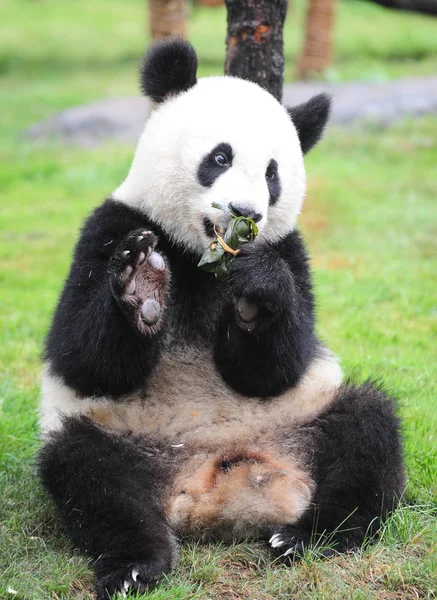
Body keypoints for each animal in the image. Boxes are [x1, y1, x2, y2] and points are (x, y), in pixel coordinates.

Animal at [39, 38, 404, 600]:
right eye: (219, 157)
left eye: (273, 174)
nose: (244, 213)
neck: (200, 255)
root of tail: (221, 486)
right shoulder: (111, 227)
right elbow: (82, 358)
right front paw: (141, 285)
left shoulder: (293, 252)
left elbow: (277, 367)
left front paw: (257, 293)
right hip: (125, 437)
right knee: (89, 473)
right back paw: (137, 564)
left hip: (303, 417)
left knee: (368, 428)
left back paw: (307, 537)